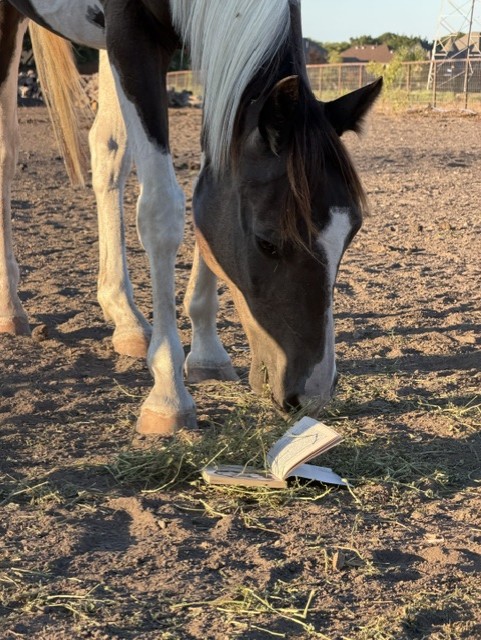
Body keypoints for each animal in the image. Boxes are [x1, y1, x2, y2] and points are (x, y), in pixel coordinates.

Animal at [1, 1, 382, 435]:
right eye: (267, 242)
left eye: (351, 234)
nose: (311, 394)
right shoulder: (133, 35)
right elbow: (162, 211)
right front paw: (168, 395)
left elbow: (206, 188)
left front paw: (206, 354)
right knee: (6, 152)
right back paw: (11, 307)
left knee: (107, 149)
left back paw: (125, 316)